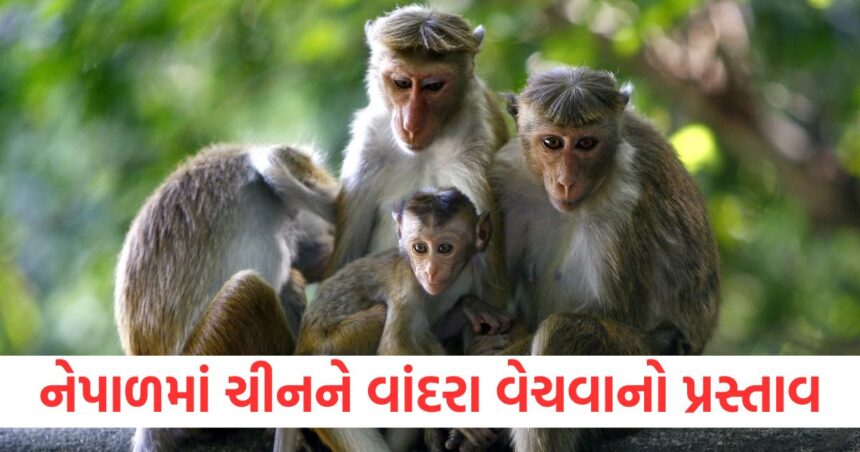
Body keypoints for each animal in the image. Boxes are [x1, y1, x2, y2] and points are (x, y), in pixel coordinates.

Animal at [278, 187, 508, 452]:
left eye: (444, 248)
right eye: (420, 248)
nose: (430, 271)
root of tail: (300, 349)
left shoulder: (471, 272)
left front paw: (469, 307)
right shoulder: (406, 280)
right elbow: (396, 348)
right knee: (380, 318)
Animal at [490, 66, 720, 451]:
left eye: (586, 144)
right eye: (552, 143)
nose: (566, 182)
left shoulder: (625, 199)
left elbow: (617, 311)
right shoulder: (505, 178)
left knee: (564, 332)